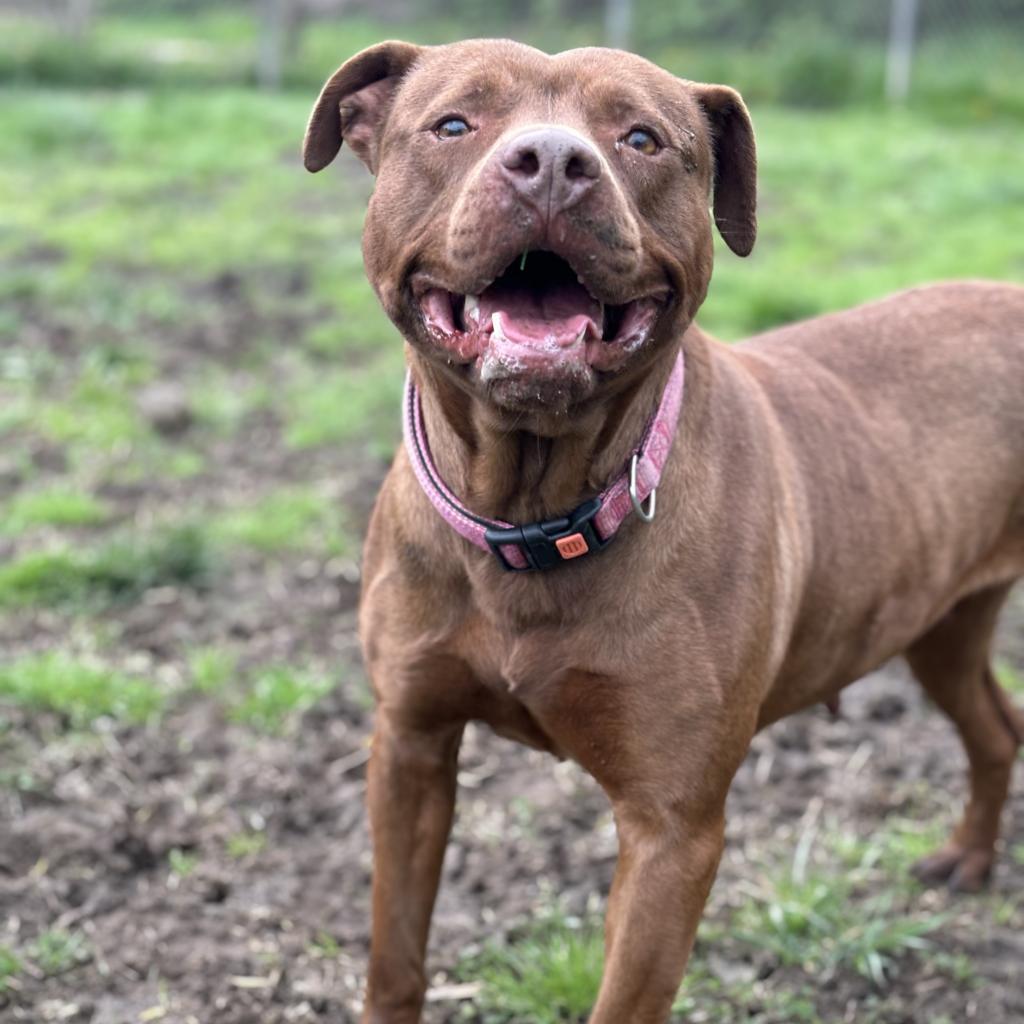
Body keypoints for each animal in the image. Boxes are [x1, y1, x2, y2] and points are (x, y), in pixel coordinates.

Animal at [303, 37, 1024, 1024]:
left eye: (641, 138)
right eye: (453, 123)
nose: (553, 162)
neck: (533, 515)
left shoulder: (673, 831)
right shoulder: (409, 747)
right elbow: (395, 955)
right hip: (941, 624)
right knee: (996, 727)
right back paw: (972, 859)